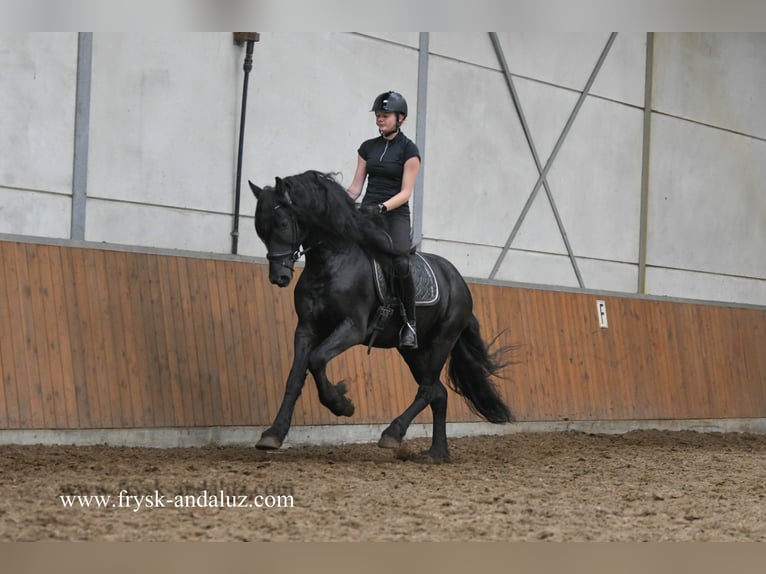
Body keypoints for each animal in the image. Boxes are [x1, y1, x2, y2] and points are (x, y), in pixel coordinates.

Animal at [248, 170, 513, 462]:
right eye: (260, 230)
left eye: (283, 223)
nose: (279, 277)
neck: (331, 260)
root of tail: (459, 281)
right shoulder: (307, 329)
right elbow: (295, 377)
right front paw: (273, 434)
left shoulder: (352, 328)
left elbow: (317, 360)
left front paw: (342, 404)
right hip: (413, 350)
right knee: (438, 393)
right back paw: (436, 453)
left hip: (443, 340)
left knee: (428, 389)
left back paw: (392, 434)